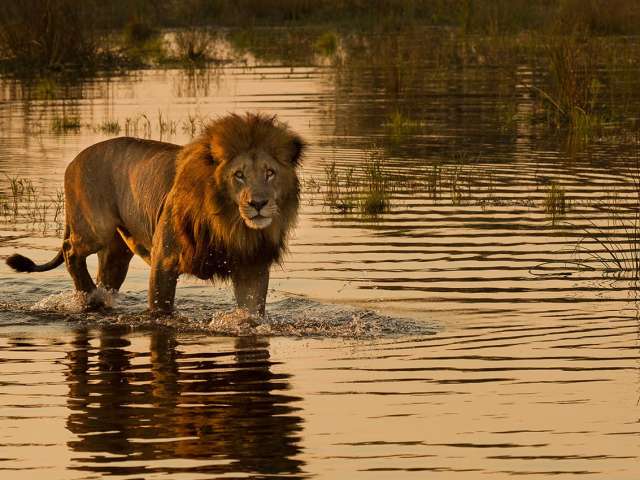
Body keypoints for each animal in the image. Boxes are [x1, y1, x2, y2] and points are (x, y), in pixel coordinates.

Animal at [6, 112, 305, 316]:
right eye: (239, 175)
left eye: (270, 173)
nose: (259, 203)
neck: (229, 223)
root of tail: (74, 160)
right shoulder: (165, 259)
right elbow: (161, 310)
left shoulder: (251, 266)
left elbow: (251, 313)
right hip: (95, 229)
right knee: (70, 250)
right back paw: (88, 294)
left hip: (116, 253)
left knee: (105, 278)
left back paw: (98, 298)